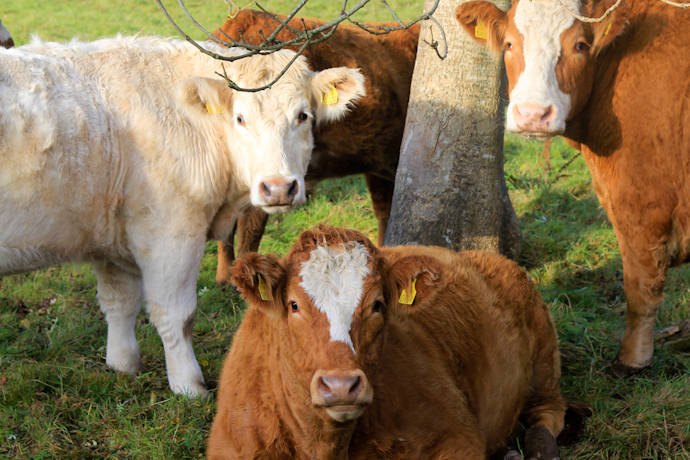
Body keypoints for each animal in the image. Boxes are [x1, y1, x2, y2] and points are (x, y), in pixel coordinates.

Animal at [0, 36, 365, 397]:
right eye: (240, 118)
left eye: (303, 116)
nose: (278, 188)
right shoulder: (172, 231)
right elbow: (177, 314)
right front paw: (189, 385)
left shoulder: (112, 235)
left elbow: (119, 302)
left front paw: (122, 366)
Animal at [208, 226, 566, 460]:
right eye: (294, 304)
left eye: (377, 304)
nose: (340, 386)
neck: (322, 444)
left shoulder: (458, 439)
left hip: (545, 358)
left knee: (549, 411)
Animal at [455, 0, 690, 377]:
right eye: (509, 44)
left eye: (580, 45)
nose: (532, 114)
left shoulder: (641, 204)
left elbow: (641, 287)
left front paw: (631, 360)